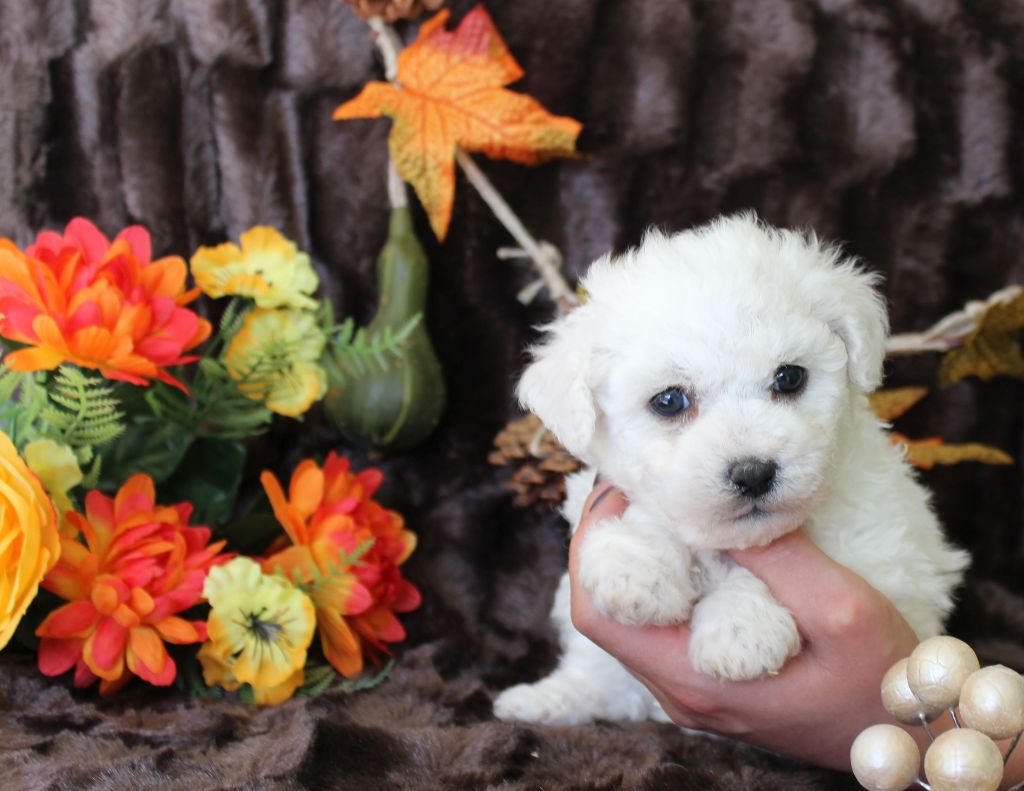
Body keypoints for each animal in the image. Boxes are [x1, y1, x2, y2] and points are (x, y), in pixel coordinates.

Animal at [493, 213, 970, 725]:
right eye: (669, 400)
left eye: (790, 377)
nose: (753, 473)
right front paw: (637, 563)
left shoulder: (888, 557)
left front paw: (742, 629)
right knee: (594, 681)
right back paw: (539, 701)